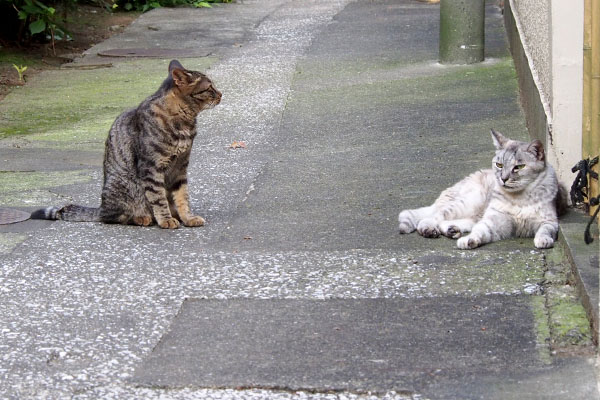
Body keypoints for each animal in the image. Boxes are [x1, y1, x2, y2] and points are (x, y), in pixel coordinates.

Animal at [31, 59, 223, 228]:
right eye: (209, 88)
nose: (221, 94)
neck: (184, 124)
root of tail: (101, 207)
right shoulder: (151, 167)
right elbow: (158, 198)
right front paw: (166, 220)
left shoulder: (180, 168)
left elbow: (183, 197)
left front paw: (188, 218)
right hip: (126, 186)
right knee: (114, 217)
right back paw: (142, 218)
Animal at [398, 129, 568, 247]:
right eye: (499, 165)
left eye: (518, 167)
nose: (503, 179)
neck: (519, 198)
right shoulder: (494, 220)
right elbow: (480, 230)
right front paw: (469, 240)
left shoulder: (549, 221)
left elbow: (544, 230)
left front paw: (543, 240)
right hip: (467, 203)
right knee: (432, 217)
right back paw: (429, 229)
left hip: (473, 213)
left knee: (450, 222)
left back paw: (452, 230)